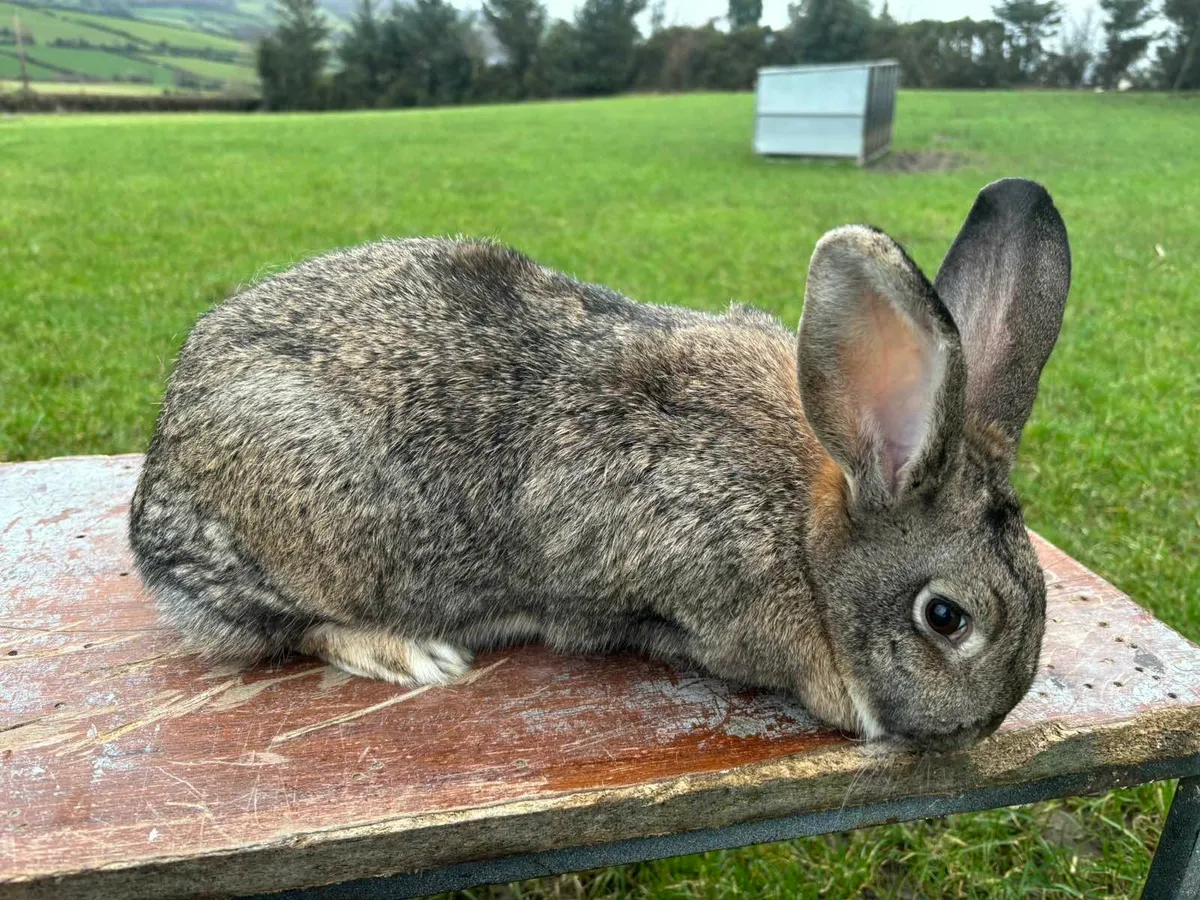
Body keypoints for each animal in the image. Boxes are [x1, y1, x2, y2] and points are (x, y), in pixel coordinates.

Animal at [129, 177, 1070, 752]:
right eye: (946, 618)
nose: (980, 728)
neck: (807, 536)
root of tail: (161, 470)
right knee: (286, 628)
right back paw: (411, 655)